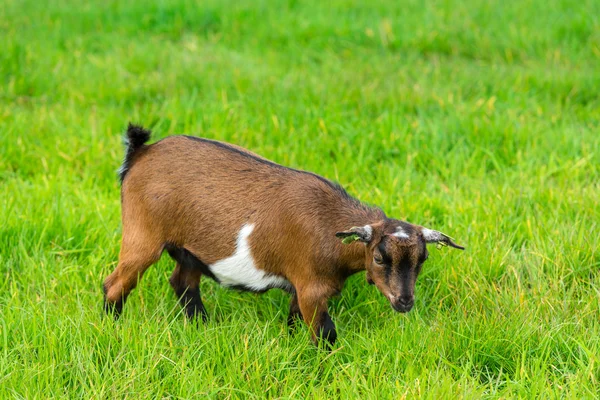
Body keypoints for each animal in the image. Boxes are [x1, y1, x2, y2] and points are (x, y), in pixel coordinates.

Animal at [104, 123, 464, 346]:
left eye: (422, 259)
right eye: (378, 257)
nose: (405, 302)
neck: (331, 228)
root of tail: (140, 152)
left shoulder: (301, 285)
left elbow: (294, 320)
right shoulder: (311, 288)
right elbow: (326, 333)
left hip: (190, 249)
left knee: (183, 282)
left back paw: (202, 325)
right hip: (143, 233)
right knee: (116, 283)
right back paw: (111, 325)